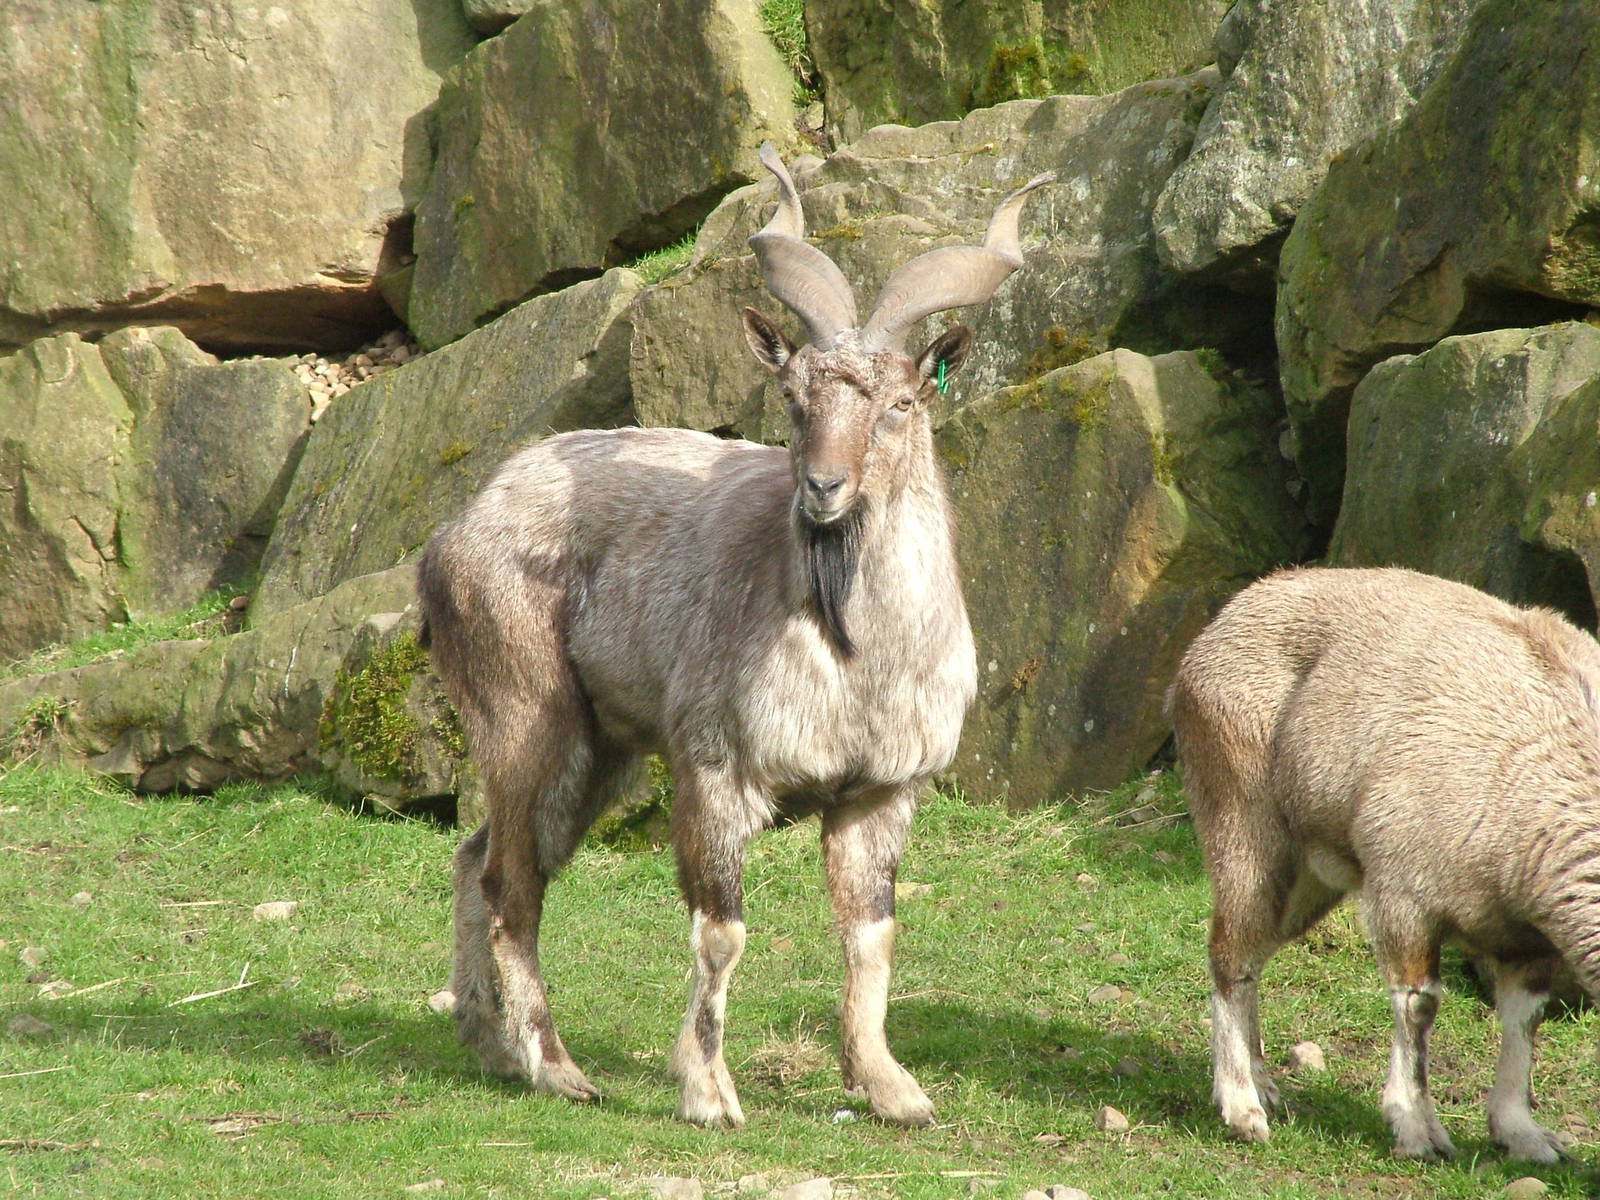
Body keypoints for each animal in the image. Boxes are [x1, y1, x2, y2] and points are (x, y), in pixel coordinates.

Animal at [417, 144, 1053, 1126]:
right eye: (793, 396)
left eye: (903, 401)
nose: (825, 488)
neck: (856, 659)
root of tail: (456, 532)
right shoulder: (717, 773)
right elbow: (721, 933)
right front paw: (708, 1091)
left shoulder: (880, 792)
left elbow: (870, 935)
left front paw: (890, 1087)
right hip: (530, 718)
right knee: (510, 885)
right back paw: (555, 1066)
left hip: (602, 754)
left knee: (476, 854)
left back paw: (488, 1044)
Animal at [1170, 565, 1600, 1162]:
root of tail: (1235, 611)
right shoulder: (1406, 897)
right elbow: (1418, 1005)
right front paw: (1417, 1127)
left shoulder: (1527, 936)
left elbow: (1523, 1019)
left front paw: (1522, 1133)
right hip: (1245, 830)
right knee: (1230, 954)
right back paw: (1242, 1105)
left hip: (1309, 876)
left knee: (1254, 953)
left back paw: (1264, 1085)